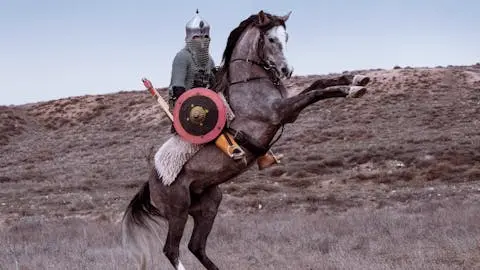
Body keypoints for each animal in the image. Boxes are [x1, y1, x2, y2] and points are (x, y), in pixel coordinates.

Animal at [121, 10, 368, 270]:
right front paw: (352, 89)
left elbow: (318, 84)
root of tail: (152, 181)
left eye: (286, 37)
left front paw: (357, 79)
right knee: (172, 249)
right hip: (178, 211)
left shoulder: (288, 109)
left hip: (209, 205)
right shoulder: (282, 112)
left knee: (196, 246)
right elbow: (316, 92)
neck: (250, 83)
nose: (286, 70)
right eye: (271, 39)